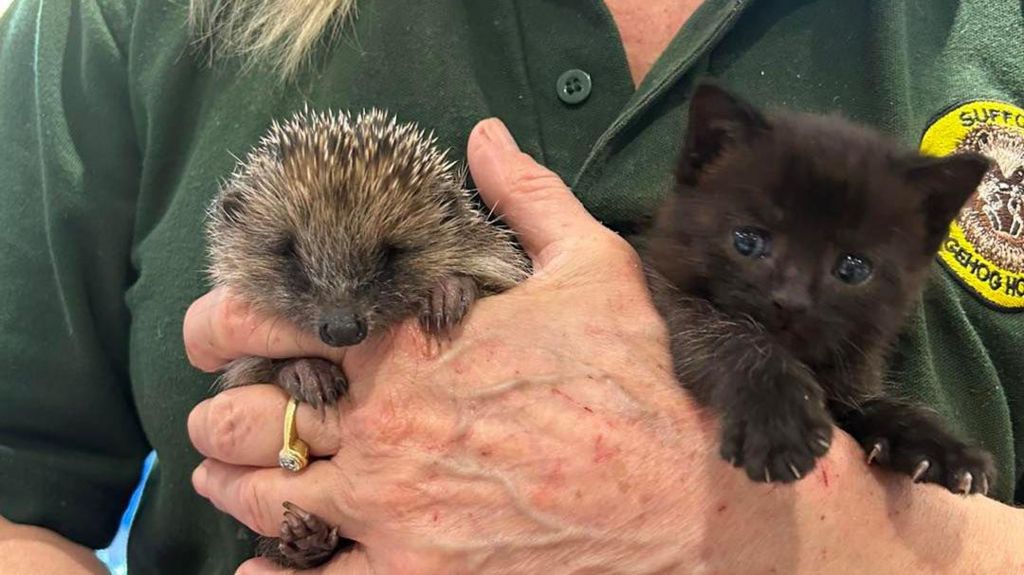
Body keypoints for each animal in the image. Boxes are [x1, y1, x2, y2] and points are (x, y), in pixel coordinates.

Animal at [643, 83, 995, 493]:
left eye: (853, 268)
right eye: (747, 241)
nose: (791, 301)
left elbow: (865, 404)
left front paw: (938, 444)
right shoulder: (667, 288)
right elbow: (722, 332)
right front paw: (778, 419)